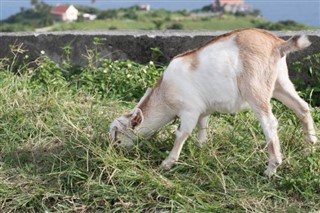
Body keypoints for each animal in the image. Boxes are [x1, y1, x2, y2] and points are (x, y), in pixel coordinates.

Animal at [110, 29, 318, 177]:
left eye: (117, 134)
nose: (112, 150)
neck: (165, 93)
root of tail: (277, 45)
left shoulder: (189, 110)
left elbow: (181, 134)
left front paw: (167, 163)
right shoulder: (203, 109)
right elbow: (203, 125)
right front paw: (200, 147)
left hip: (256, 88)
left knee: (269, 123)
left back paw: (271, 168)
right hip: (279, 84)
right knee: (302, 108)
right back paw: (310, 147)